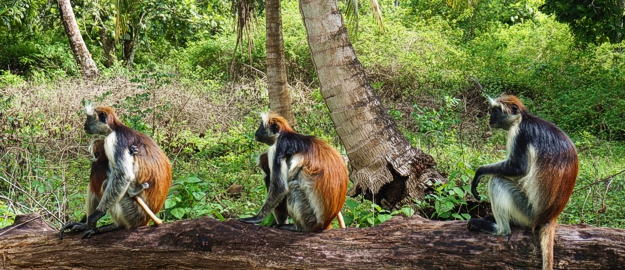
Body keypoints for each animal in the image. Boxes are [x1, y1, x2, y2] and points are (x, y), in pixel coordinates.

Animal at [59, 105, 171, 238]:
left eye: (88, 118)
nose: (84, 125)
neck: (117, 128)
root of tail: (146, 220)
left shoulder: (114, 141)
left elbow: (123, 176)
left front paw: (96, 215)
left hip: (133, 214)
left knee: (106, 181)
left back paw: (116, 226)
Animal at [466, 95, 576, 270]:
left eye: (495, 112)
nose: (490, 119)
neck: (523, 119)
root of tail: (549, 217)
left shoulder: (520, 133)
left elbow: (519, 168)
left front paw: (480, 172)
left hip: (527, 212)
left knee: (497, 180)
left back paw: (501, 229)